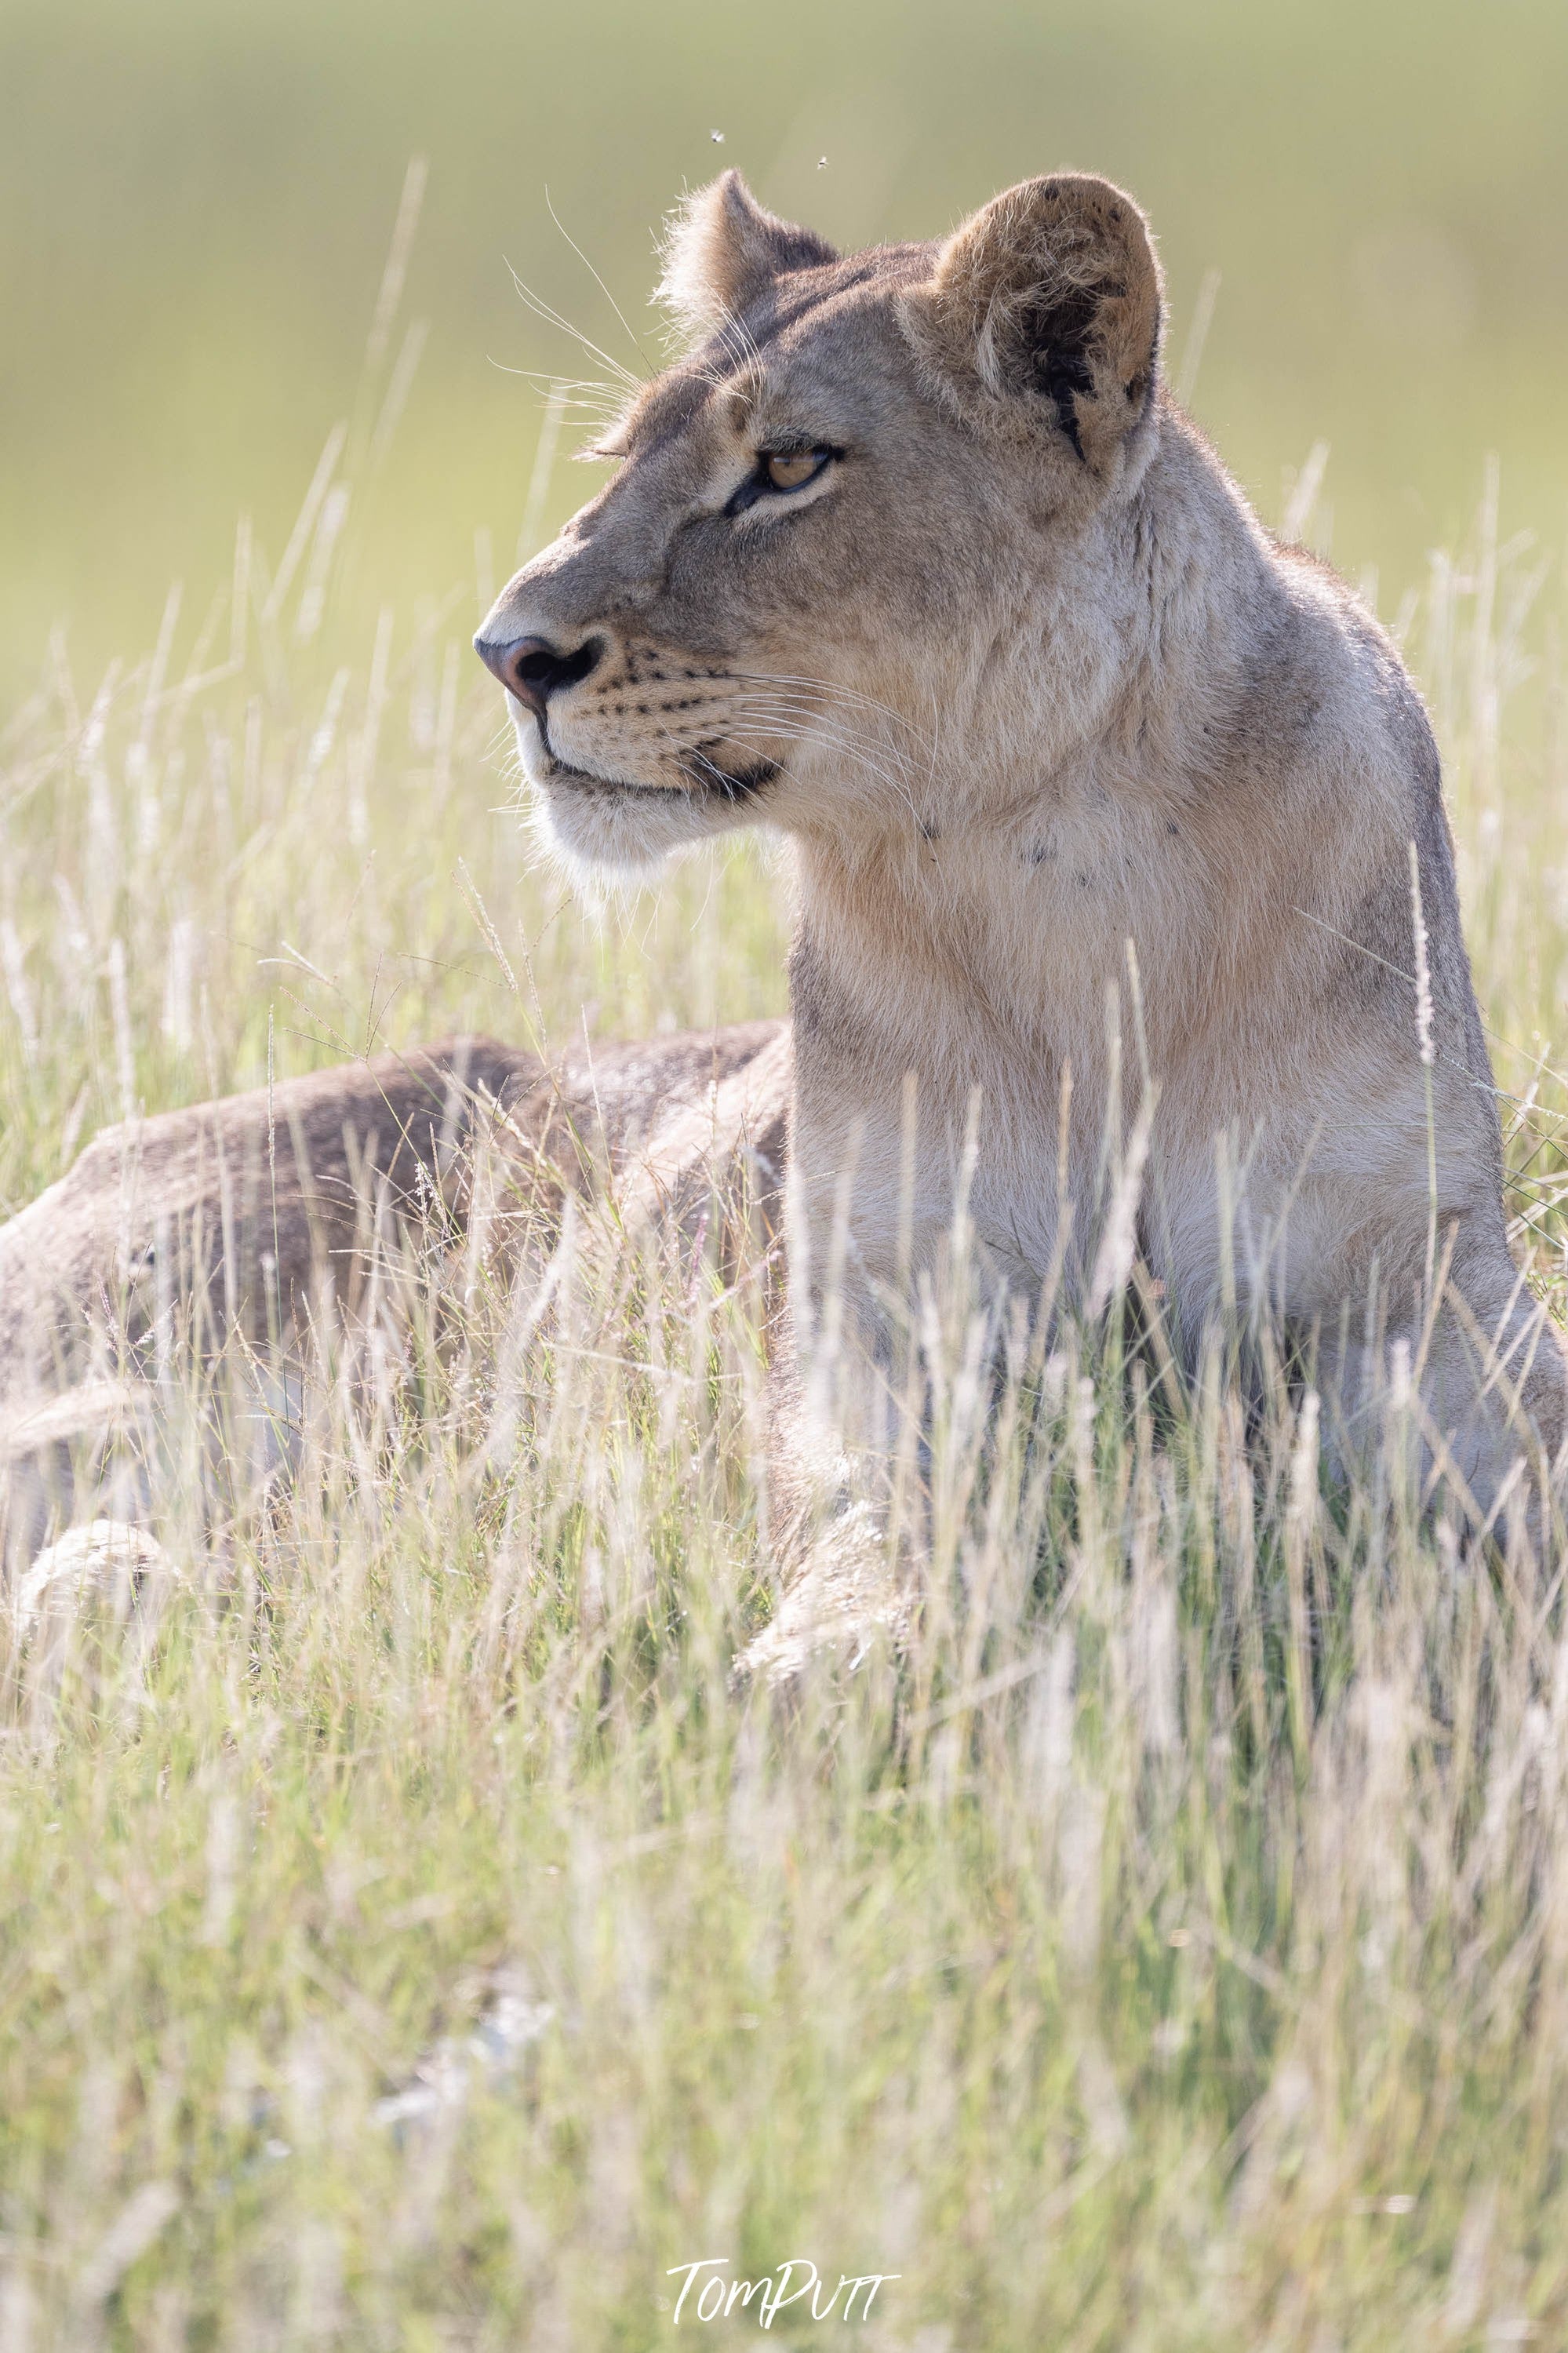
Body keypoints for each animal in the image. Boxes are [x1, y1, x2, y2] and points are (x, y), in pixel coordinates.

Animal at [1, 168, 1560, 1606]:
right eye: (620, 454)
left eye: (790, 465)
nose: (508, 653)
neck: (1069, 868)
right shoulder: (884, 1323)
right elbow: (878, 1543)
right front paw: (825, 1649)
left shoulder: (1418, 1289)